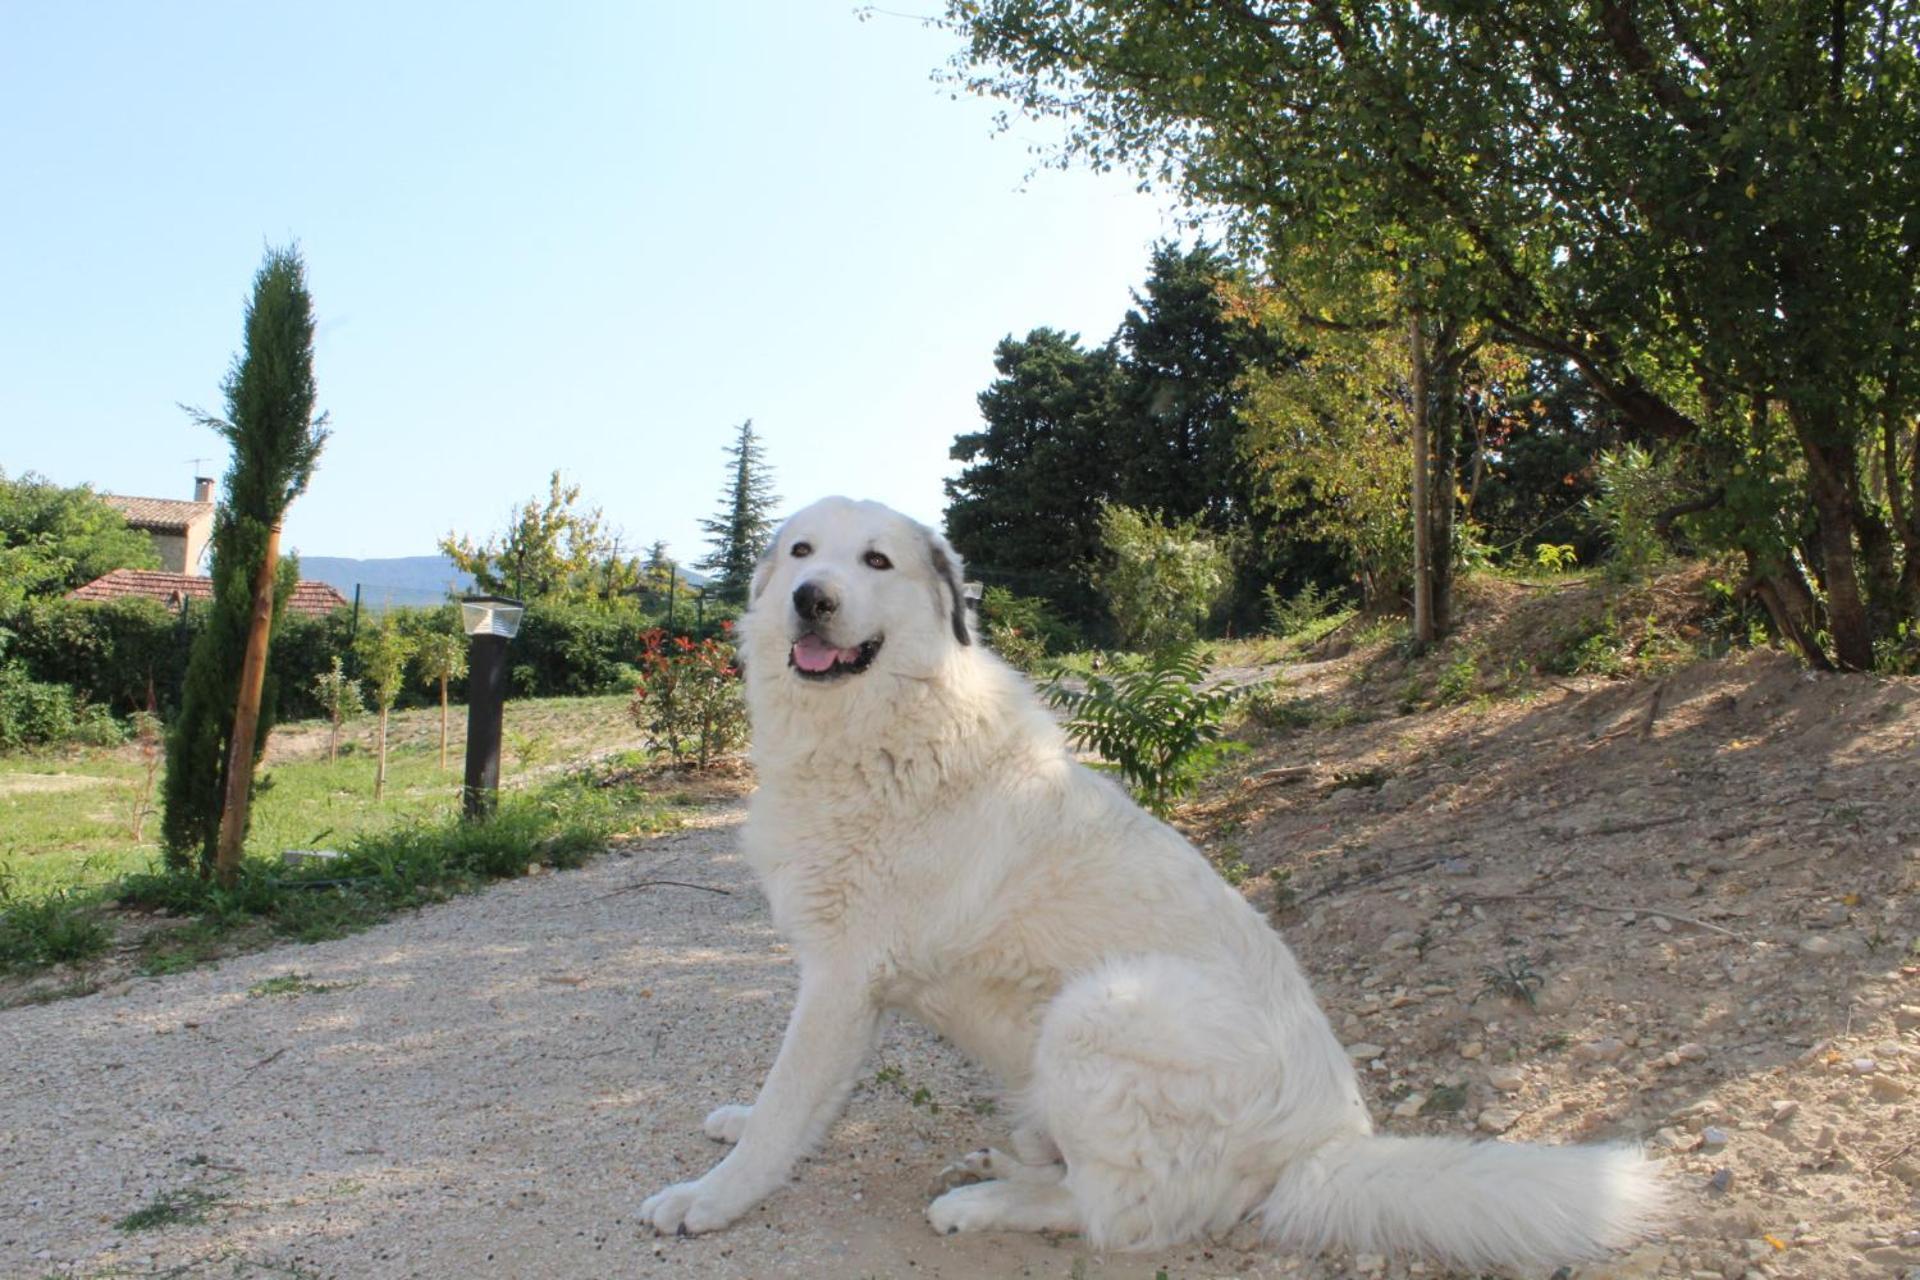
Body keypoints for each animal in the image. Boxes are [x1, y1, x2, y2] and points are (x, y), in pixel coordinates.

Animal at [645, 495, 1666, 1266]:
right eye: (800, 551)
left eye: (877, 561)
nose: (812, 598)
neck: (877, 731)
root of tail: (1325, 1148)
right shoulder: (844, 985)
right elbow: (787, 1101)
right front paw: (738, 1126)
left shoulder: (844, 979)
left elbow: (789, 1106)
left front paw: (712, 1199)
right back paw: (1010, 1157)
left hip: (1102, 1007)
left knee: (1116, 1214)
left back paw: (985, 1202)